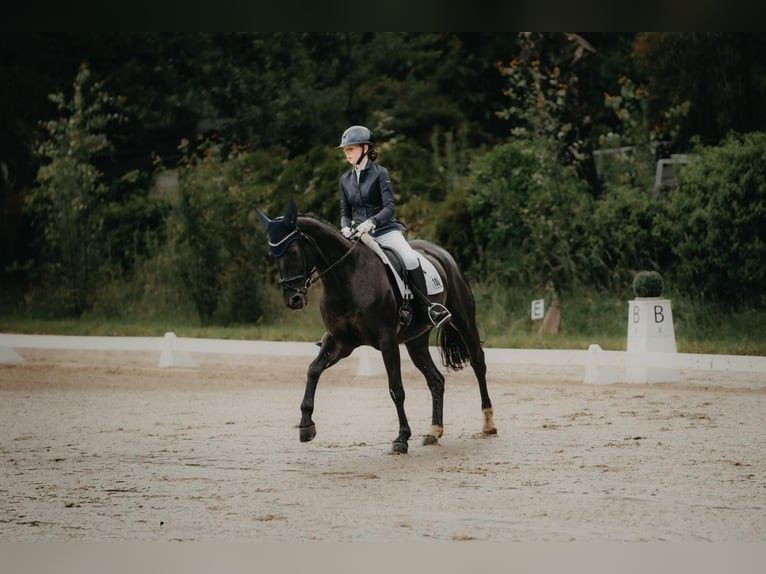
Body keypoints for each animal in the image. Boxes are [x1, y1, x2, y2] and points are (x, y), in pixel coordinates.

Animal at [258, 198, 498, 454]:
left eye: (293, 252)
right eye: (273, 255)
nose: (293, 300)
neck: (346, 278)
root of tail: (442, 253)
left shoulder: (387, 340)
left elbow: (396, 388)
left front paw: (402, 438)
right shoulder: (339, 341)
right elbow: (313, 370)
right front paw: (306, 425)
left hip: (464, 320)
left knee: (478, 362)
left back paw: (488, 423)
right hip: (416, 340)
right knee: (436, 380)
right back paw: (434, 432)